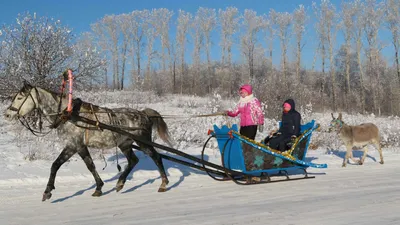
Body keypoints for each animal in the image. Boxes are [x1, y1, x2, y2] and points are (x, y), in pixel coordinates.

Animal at [3, 82, 172, 200]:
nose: (7, 115)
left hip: (143, 142)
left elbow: (83, 165)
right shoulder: (74, 146)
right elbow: (62, 165)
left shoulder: (75, 145)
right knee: (133, 161)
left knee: (156, 157)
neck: (68, 115)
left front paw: (48, 191)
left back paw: (163, 184)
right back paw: (120, 183)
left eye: (19, 97)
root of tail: (144, 114)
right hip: (125, 144)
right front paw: (98, 188)